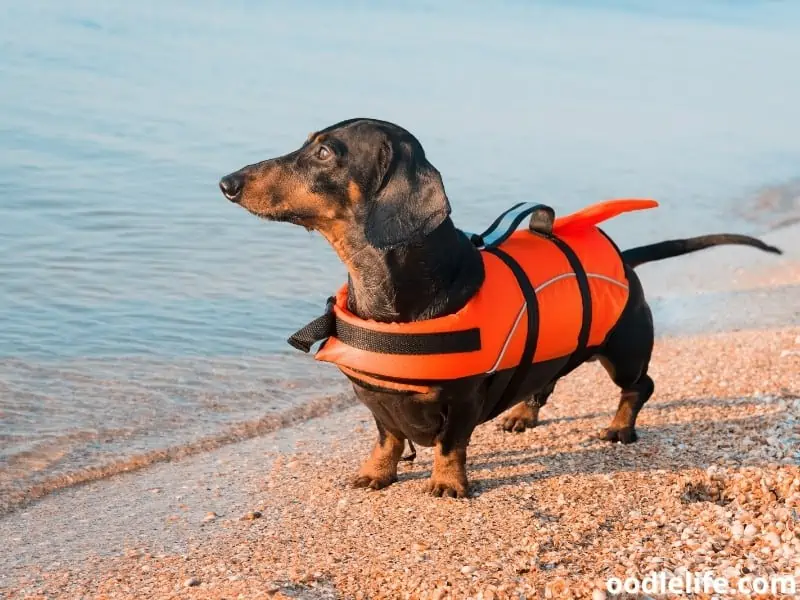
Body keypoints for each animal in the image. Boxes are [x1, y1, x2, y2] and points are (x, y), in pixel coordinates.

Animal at [219, 117, 780, 496]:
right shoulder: (375, 397)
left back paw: (620, 428)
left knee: (640, 386)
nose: (227, 183)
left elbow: (450, 444)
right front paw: (376, 474)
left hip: (625, 351)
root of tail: (625, 257)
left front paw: (448, 485)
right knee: (544, 380)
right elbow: (388, 438)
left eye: (323, 152)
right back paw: (523, 413)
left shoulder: (464, 398)